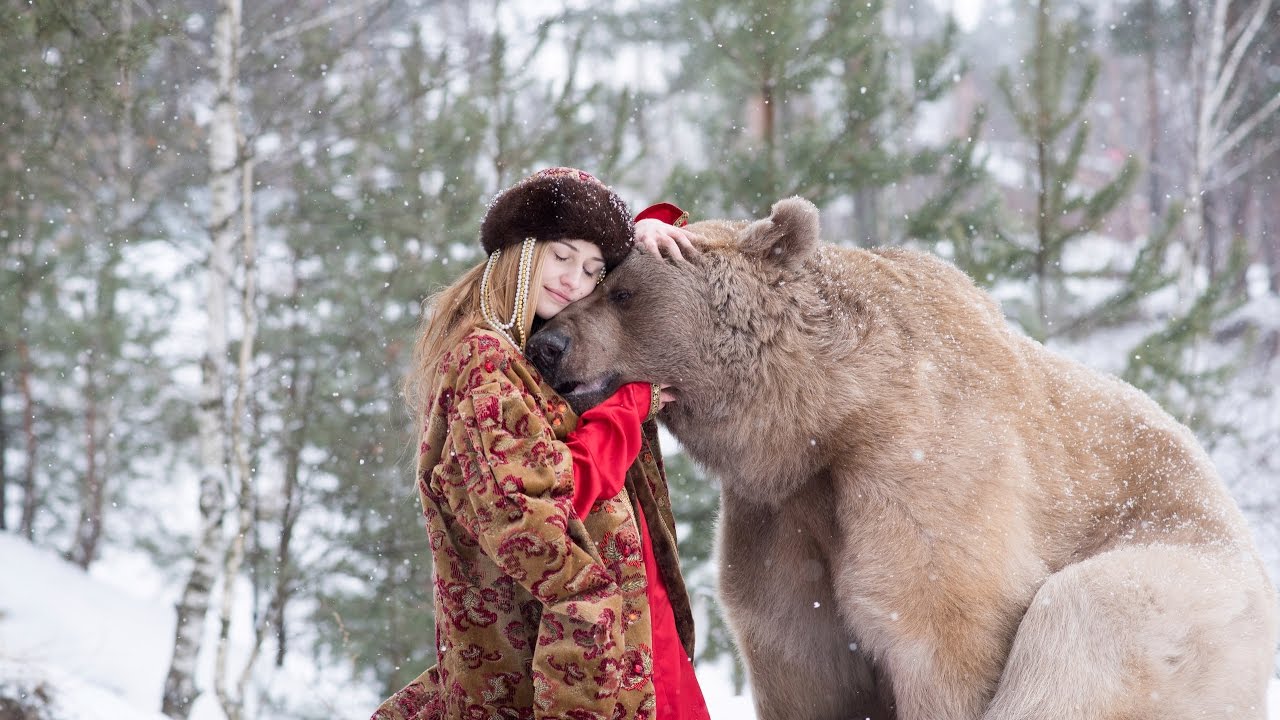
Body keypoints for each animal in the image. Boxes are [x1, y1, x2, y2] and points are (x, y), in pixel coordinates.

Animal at [527, 196, 1280, 717]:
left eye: (622, 290)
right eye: (597, 279)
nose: (547, 345)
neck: (824, 420)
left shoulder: (922, 475)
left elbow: (941, 627)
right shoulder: (781, 518)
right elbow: (802, 655)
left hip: (1190, 580)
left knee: (1086, 620)